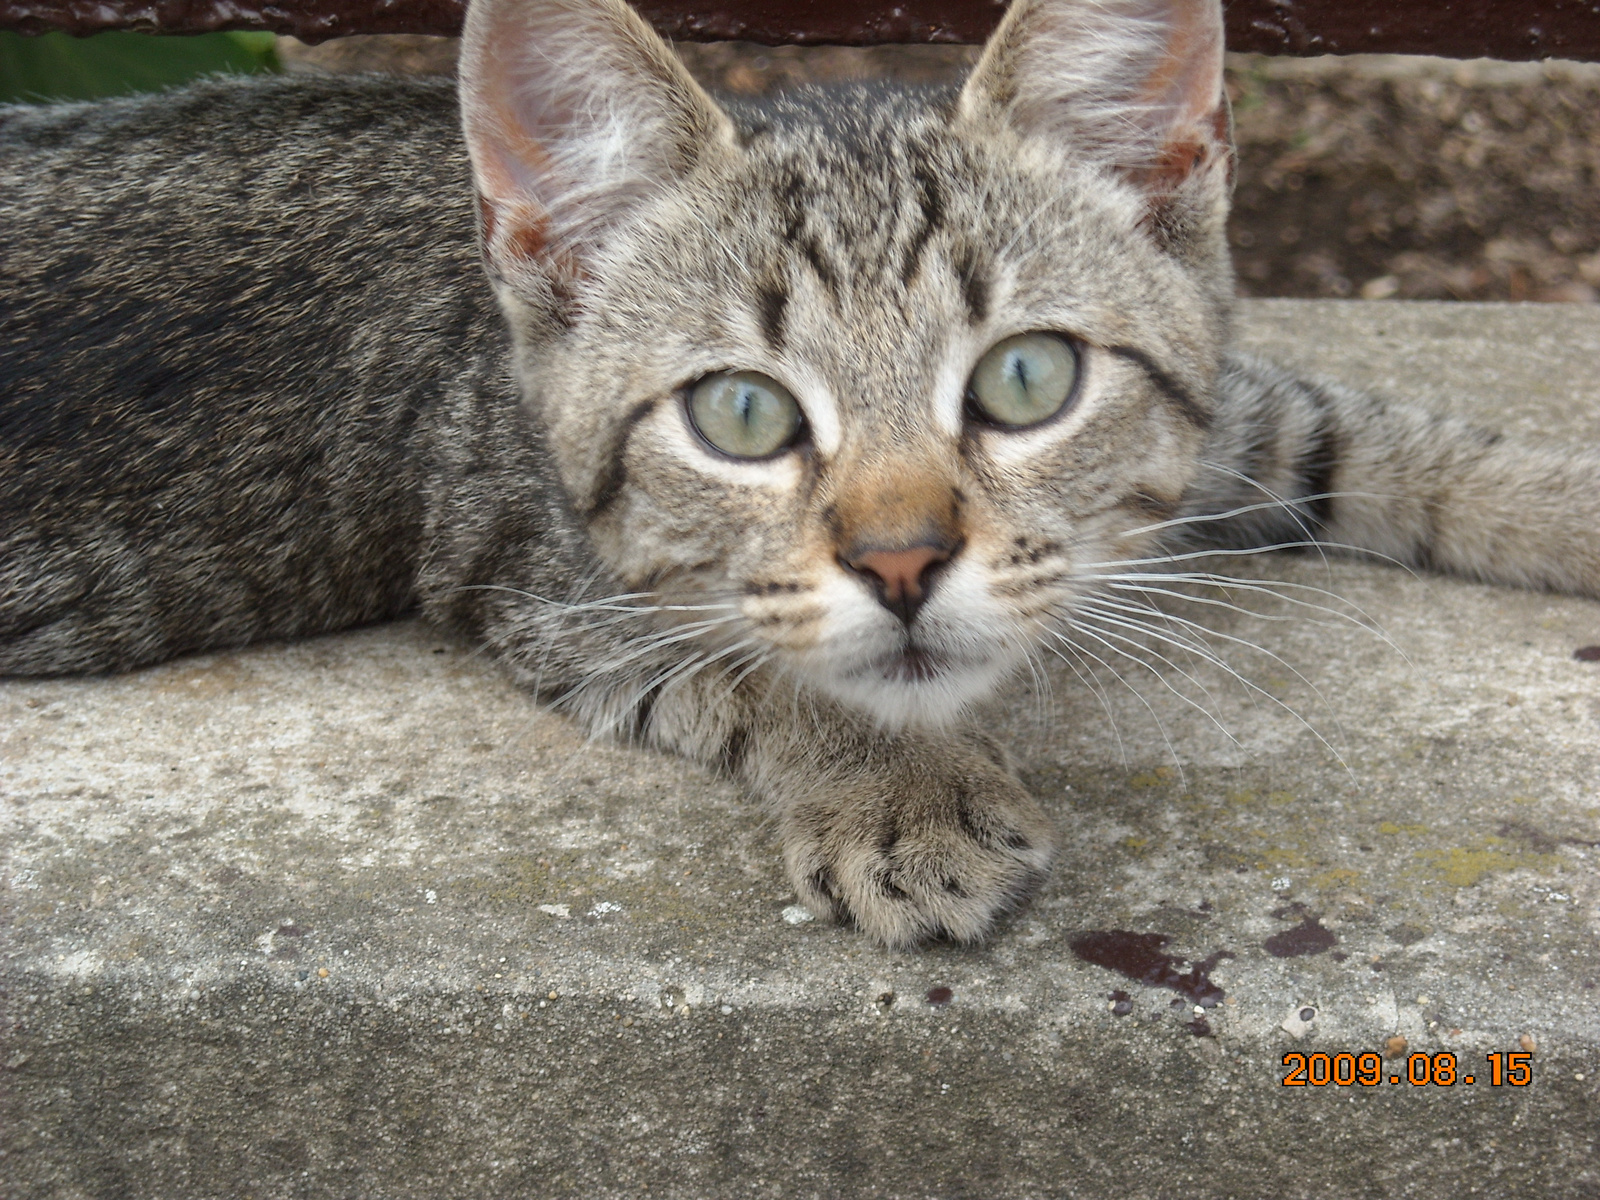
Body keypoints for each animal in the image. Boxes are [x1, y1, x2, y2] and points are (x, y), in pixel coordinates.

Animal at [3, 0, 1600, 947]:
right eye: (743, 415)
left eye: (1026, 380)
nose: (901, 561)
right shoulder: (538, 575)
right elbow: (757, 655)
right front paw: (900, 787)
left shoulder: (1229, 418)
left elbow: (1369, 430)